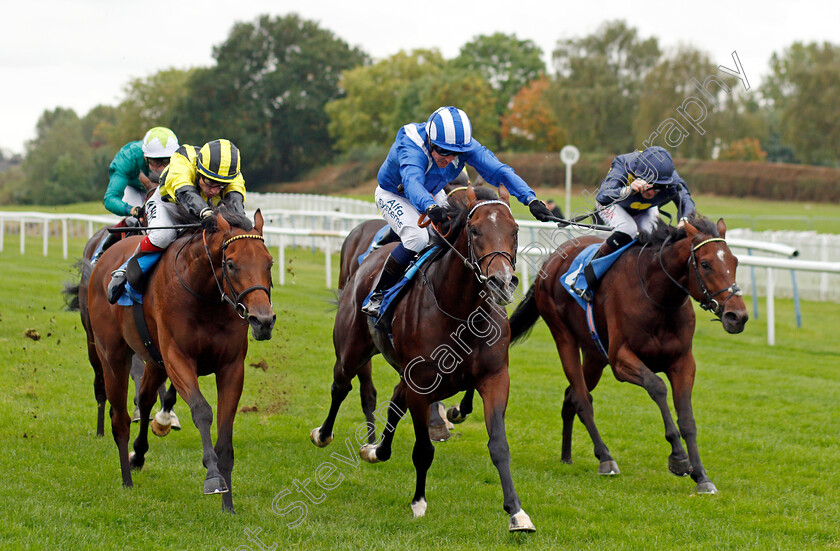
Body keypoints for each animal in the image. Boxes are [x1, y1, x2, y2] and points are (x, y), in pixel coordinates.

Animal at [87, 208, 274, 512]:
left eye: (269, 263)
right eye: (231, 264)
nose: (264, 321)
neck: (205, 296)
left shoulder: (231, 367)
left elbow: (225, 432)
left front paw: (228, 503)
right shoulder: (178, 359)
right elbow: (202, 411)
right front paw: (213, 477)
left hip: (154, 360)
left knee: (145, 398)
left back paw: (138, 454)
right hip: (112, 355)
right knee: (120, 418)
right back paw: (127, 480)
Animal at [312, 188, 536, 532]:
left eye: (514, 230)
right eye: (475, 231)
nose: (501, 282)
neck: (460, 311)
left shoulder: (495, 377)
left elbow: (499, 445)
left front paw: (517, 513)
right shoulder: (420, 386)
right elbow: (423, 449)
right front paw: (418, 502)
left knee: (393, 399)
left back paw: (375, 450)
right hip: (351, 350)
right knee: (341, 386)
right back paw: (324, 435)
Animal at [508, 213, 744, 494]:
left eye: (735, 261)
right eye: (706, 264)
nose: (737, 316)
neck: (657, 295)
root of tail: (554, 258)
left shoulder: (683, 362)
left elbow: (687, 419)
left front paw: (701, 476)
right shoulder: (621, 360)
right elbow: (657, 386)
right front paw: (678, 458)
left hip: (594, 355)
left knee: (571, 395)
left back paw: (567, 456)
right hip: (564, 337)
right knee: (582, 399)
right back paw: (605, 457)